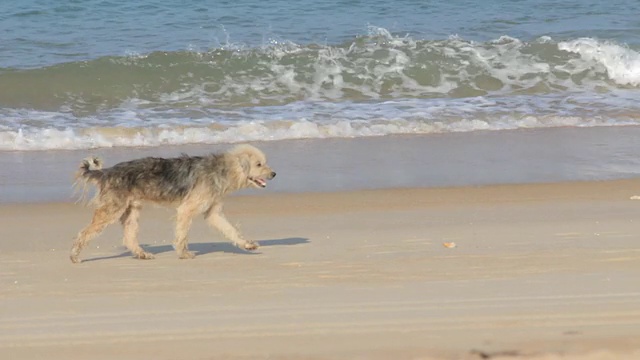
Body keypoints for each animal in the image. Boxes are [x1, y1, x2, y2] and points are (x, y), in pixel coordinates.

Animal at [70, 144, 276, 264]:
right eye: (259, 164)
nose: (274, 174)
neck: (222, 170)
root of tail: (106, 172)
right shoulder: (186, 209)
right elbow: (182, 235)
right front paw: (183, 254)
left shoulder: (213, 213)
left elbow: (231, 230)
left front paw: (247, 245)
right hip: (111, 210)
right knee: (84, 233)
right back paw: (74, 256)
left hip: (132, 211)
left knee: (129, 237)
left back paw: (142, 254)